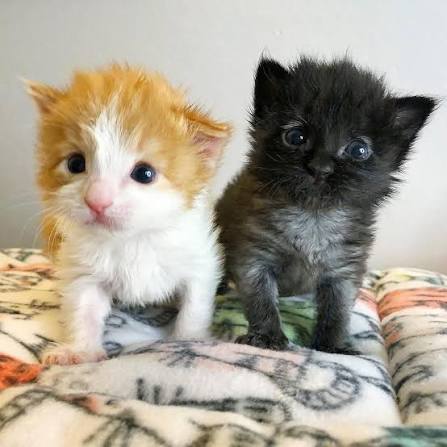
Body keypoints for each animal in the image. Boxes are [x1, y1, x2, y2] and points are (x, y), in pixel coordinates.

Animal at [26, 64, 231, 365]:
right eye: (75, 163)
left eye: (144, 173)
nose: (96, 201)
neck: (132, 238)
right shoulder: (81, 265)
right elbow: (83, 306)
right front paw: (79, 350)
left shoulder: (200, 256)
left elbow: (195, 303)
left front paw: (189, 340)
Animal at [216, 56, 436, 354]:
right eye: (296, 137)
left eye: (358, 150)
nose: (320, 167)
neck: (312, 216)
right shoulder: (254, 257)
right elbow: (262, 301)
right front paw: (267, 337)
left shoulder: (342, 271)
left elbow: (337, 312)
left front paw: (333, 346)